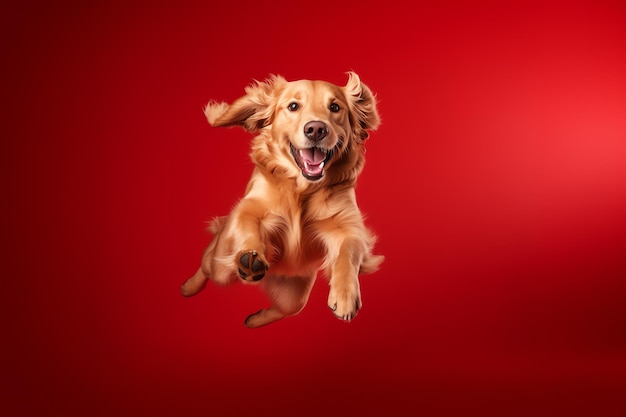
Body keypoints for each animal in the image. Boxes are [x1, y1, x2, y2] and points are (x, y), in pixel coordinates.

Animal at [179, 70, 380, 324]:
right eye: (293, 106)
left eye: (335, 107)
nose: (316, 129)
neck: (302, 190)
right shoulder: (250, 207)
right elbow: (248, 224)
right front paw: (251, 256)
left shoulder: (347, 225)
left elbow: (349, 251)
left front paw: (345, 295)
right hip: (219, 266)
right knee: (206, 269)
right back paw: (190, 287)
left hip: (295, 297)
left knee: (282, 309)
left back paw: (253, 319)